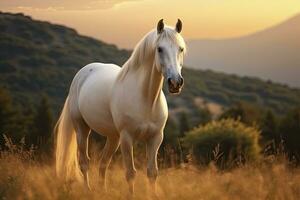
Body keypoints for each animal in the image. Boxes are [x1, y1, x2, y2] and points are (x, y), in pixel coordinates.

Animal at [54, 18, 185, 194]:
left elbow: (152, 173)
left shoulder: (155, 138)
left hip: (113, 137)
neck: (146, 100)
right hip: (82, 129)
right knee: (84, 162)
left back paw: (102, 191)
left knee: (103, 163)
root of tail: (82, 74)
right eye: (159, 49)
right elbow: (130, 173)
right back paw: (88, 190)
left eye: (181, 48)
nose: (175, 83)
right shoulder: (127, 137)